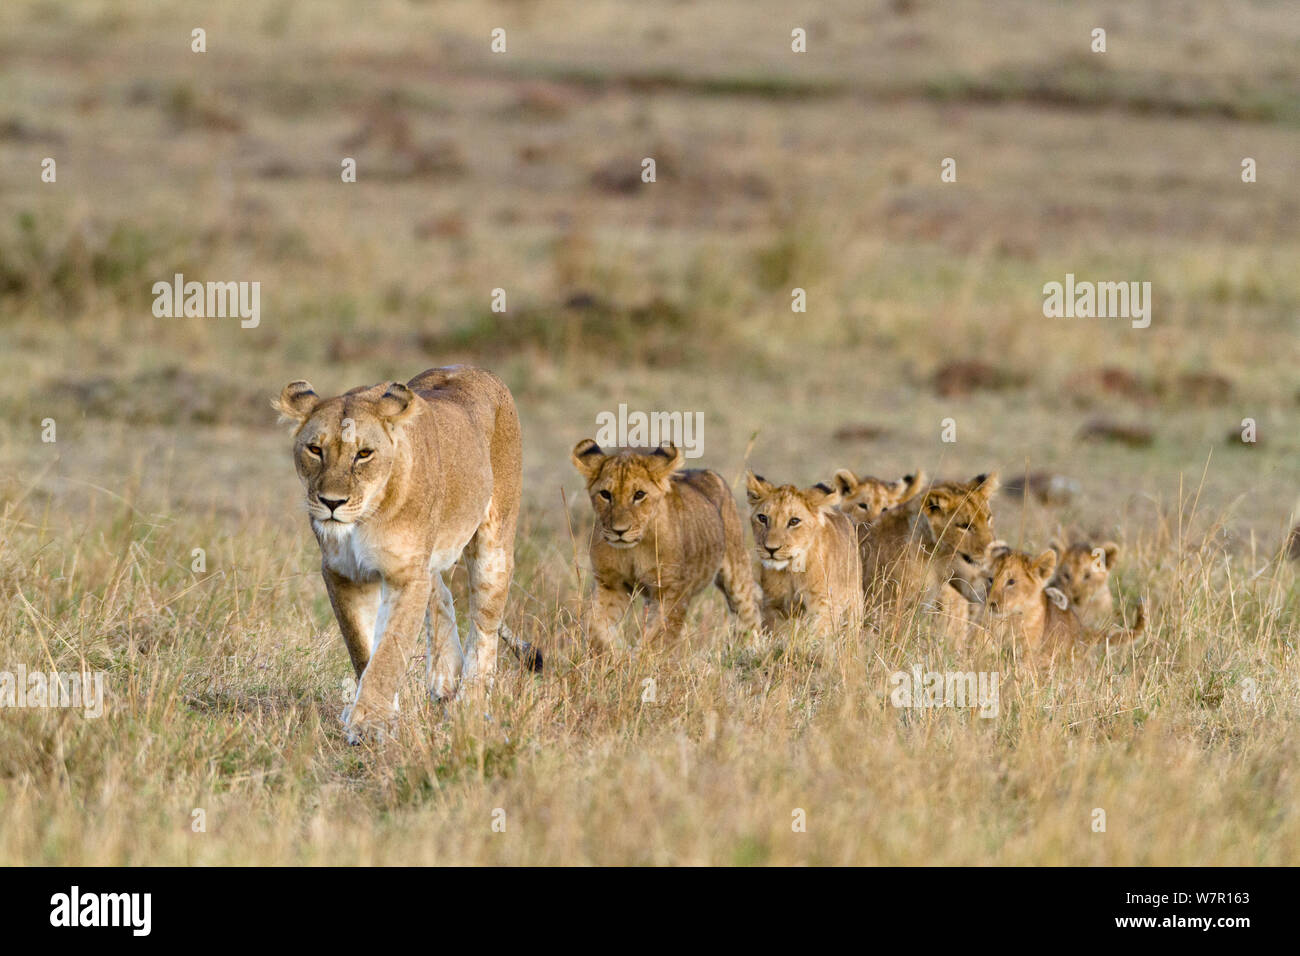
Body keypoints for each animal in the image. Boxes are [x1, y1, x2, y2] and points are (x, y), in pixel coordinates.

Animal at [274, 366, 538, 743]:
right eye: (314, 449)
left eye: (364, 454)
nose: (331, 502)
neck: (363, 518)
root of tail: (473, 368)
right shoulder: (343, 573)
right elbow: (363, 647)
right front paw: (379, 716)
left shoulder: (404, 575)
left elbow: (389, 652)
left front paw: (368, 724)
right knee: (439, 591)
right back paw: (444, 676)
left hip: (495, 544)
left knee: (484, 627)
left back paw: (469, 707)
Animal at [570, 440, 760, 649]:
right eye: (605, 494)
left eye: (639, 494)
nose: (620, 531)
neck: (633, 550)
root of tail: (706, 472)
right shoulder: (611, 584)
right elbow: (594, 624)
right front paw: (614, 650)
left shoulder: (672, 590)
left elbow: (658, 636)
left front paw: (641, 655)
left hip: (737, 571)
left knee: (749, 613)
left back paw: (753, 647)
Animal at [746, 472, 864, 635]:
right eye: (762, 518)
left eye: (794, 521)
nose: (771, 549)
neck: (792, 570)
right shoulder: (773, 605)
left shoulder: (823, 603)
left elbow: (818, 633)